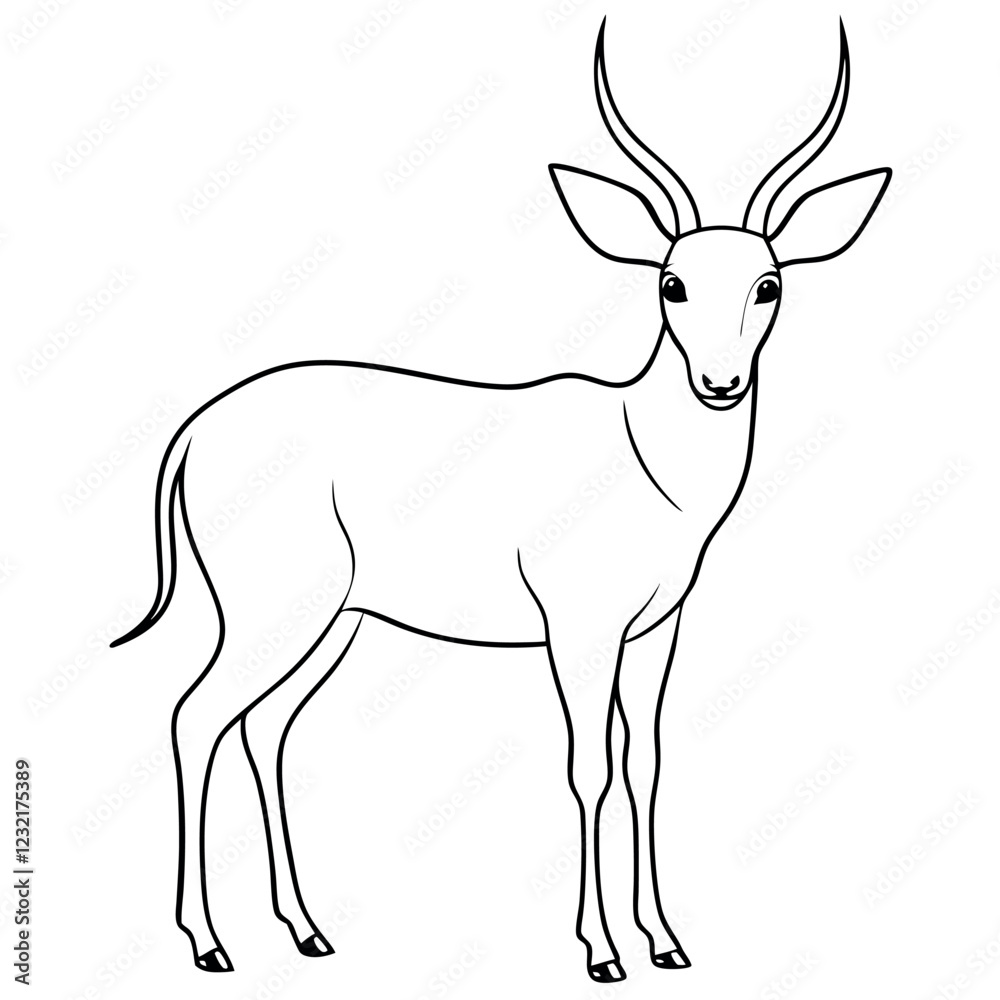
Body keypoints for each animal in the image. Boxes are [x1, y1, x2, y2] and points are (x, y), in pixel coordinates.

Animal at [111, 18, 890, 983]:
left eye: (769, 282)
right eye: (670, 282)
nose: (720, 381)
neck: (646, 456)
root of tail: (196, 428)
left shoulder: (656, 630)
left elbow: (646, 764)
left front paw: (667, 942)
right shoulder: (578, 629)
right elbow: (589, 768)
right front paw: (602, 952)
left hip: (333, 621)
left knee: (265, 728)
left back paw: (307, 931)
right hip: (273, 610)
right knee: (195, 717)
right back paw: (210, 943)